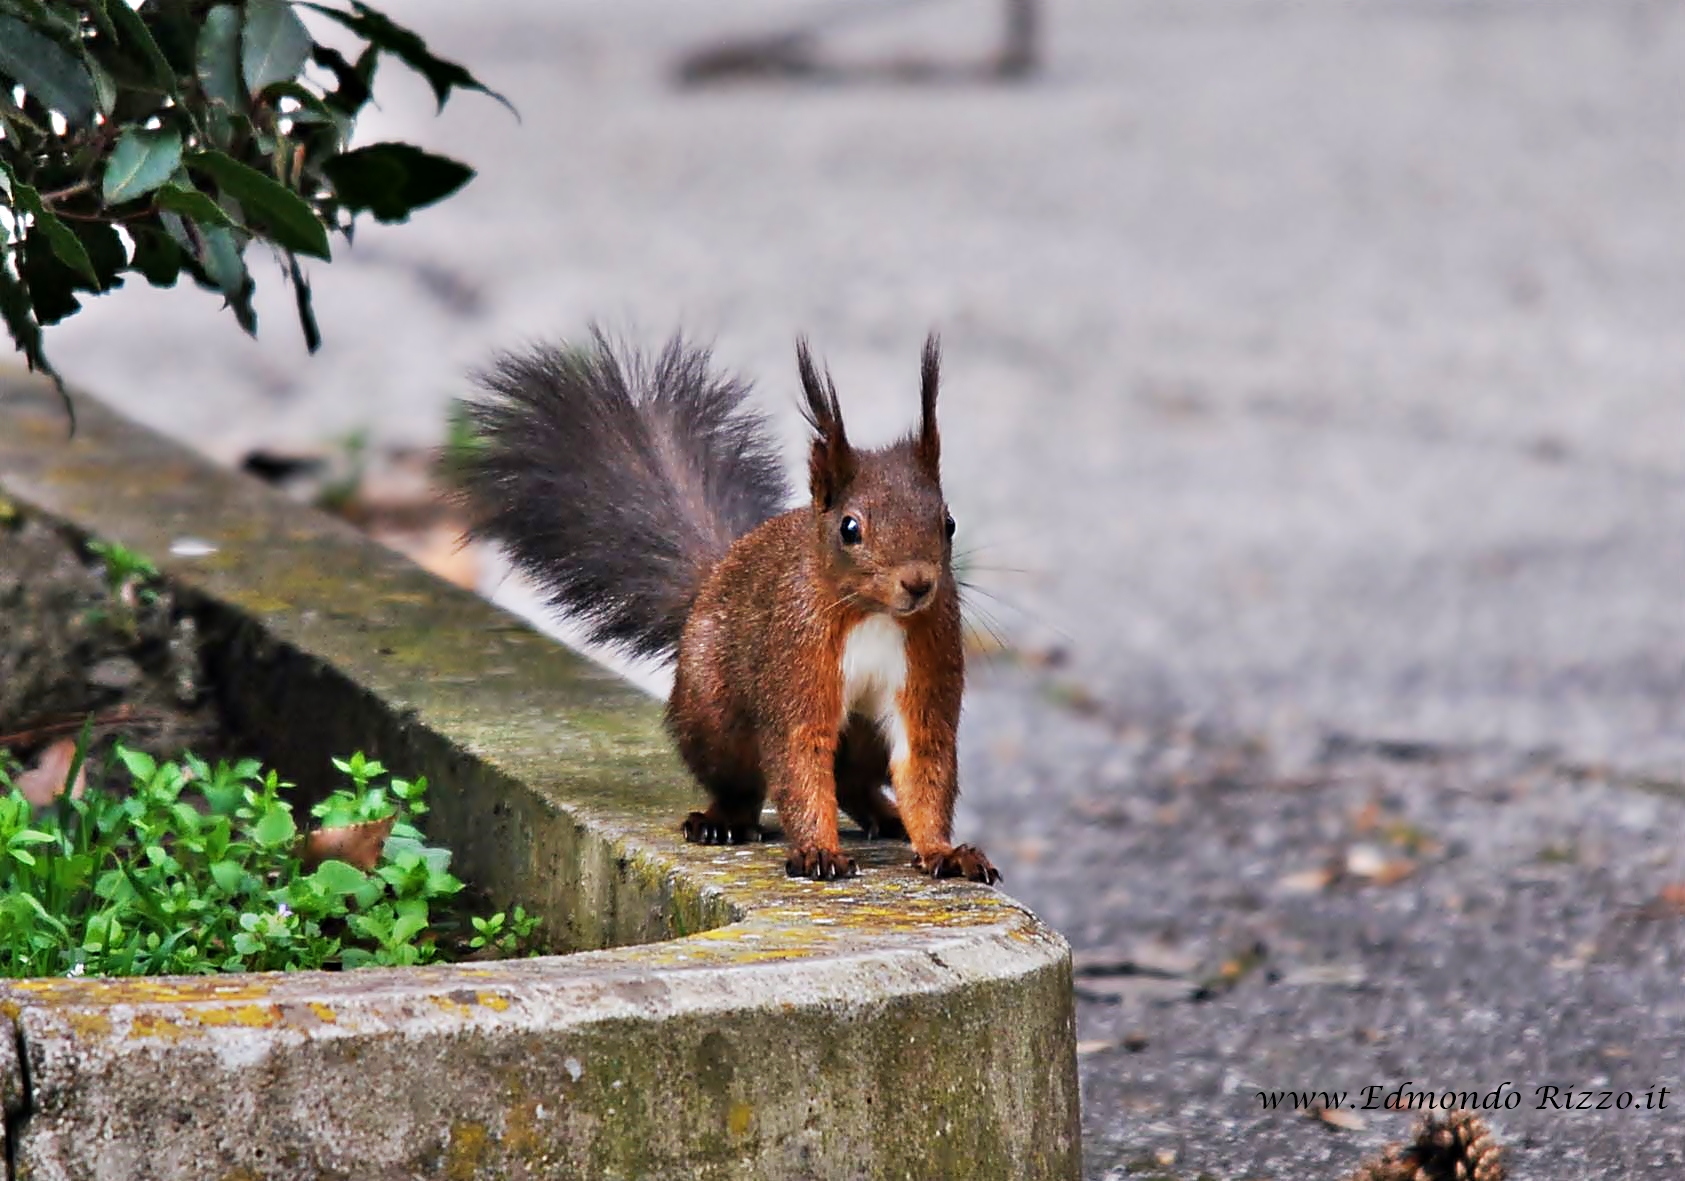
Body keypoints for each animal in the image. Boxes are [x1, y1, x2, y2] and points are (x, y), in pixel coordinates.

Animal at [456, 329, 998, 884]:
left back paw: (885, 816)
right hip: (713, 714)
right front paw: (818, 852)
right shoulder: (795, 662)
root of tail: (711, 581)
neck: (873, 614)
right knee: (744, 785)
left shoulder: (928, 662)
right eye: (850, 528)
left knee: (853, 783)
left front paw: (944, 850)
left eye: (948, 522)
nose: (919, 583)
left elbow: (924, 762)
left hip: (862, 736)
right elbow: (799, 759)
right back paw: (722, 822)